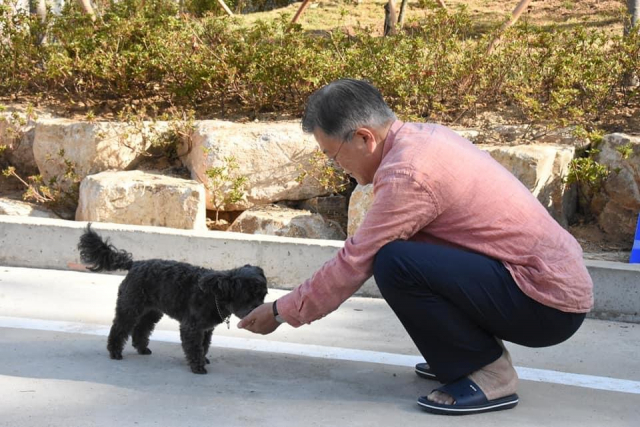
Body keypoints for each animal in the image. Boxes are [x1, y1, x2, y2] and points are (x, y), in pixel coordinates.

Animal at [77, 224, 268, 374]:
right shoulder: (192, 327)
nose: (258, 309)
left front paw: (203, 358)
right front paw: (198, 366)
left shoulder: (205, 329)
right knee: (119, 328)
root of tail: (134, 264)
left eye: (263, 295)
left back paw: (142, 348)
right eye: (248, 296)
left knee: (141, 329)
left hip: (151, 311)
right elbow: (194, 346)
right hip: (130, 307)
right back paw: (115, 352)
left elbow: (204, 345)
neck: (214, 293)